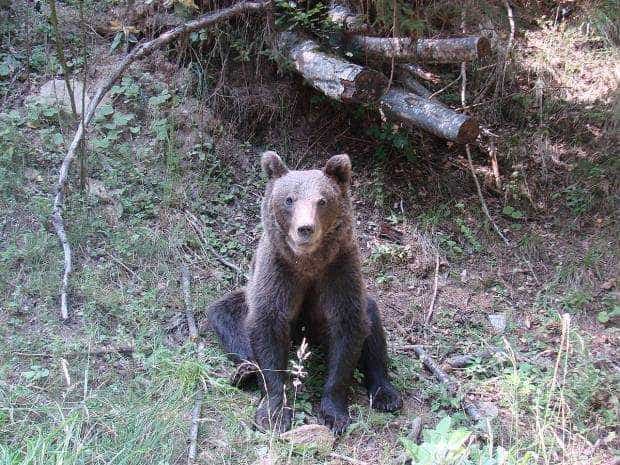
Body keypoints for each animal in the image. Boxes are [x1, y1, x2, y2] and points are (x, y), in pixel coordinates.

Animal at [208, 150, 402, 434]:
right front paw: (274, 412)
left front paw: (334, 413)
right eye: (289, 199)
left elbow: (348, 327)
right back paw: (246, 370)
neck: (308, 263)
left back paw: (386, 394)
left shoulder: (338, 270)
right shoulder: (279, 270)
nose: (305, 228)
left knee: (372, 324)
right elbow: (268, 324)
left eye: (322, 201)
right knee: (225, 315)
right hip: (245, 298)